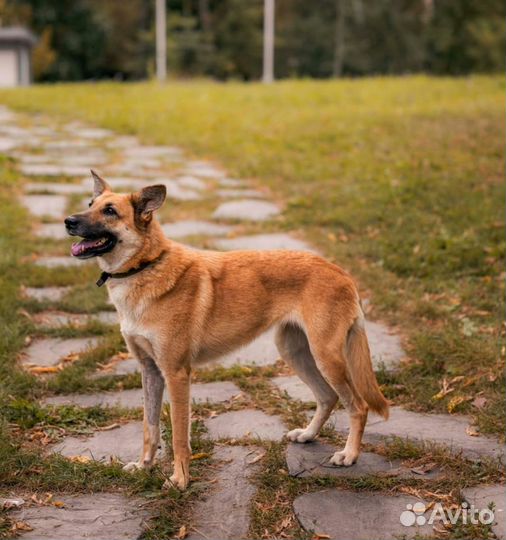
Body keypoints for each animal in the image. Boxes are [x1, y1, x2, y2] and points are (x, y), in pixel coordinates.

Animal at [63, 170, 388, 490]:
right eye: (90, 203)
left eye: (110, 211)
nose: (68, 221)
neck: (146, 265)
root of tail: (340, 271)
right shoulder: (150, 370)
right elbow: (150, 426)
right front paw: (145, 466)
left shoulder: (176, 374)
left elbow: (178, 434)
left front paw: (180, 480)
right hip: (295, 353)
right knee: (327, 397)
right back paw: (308, 435)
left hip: (326, 357)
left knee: (358, 405)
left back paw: (349, 455)